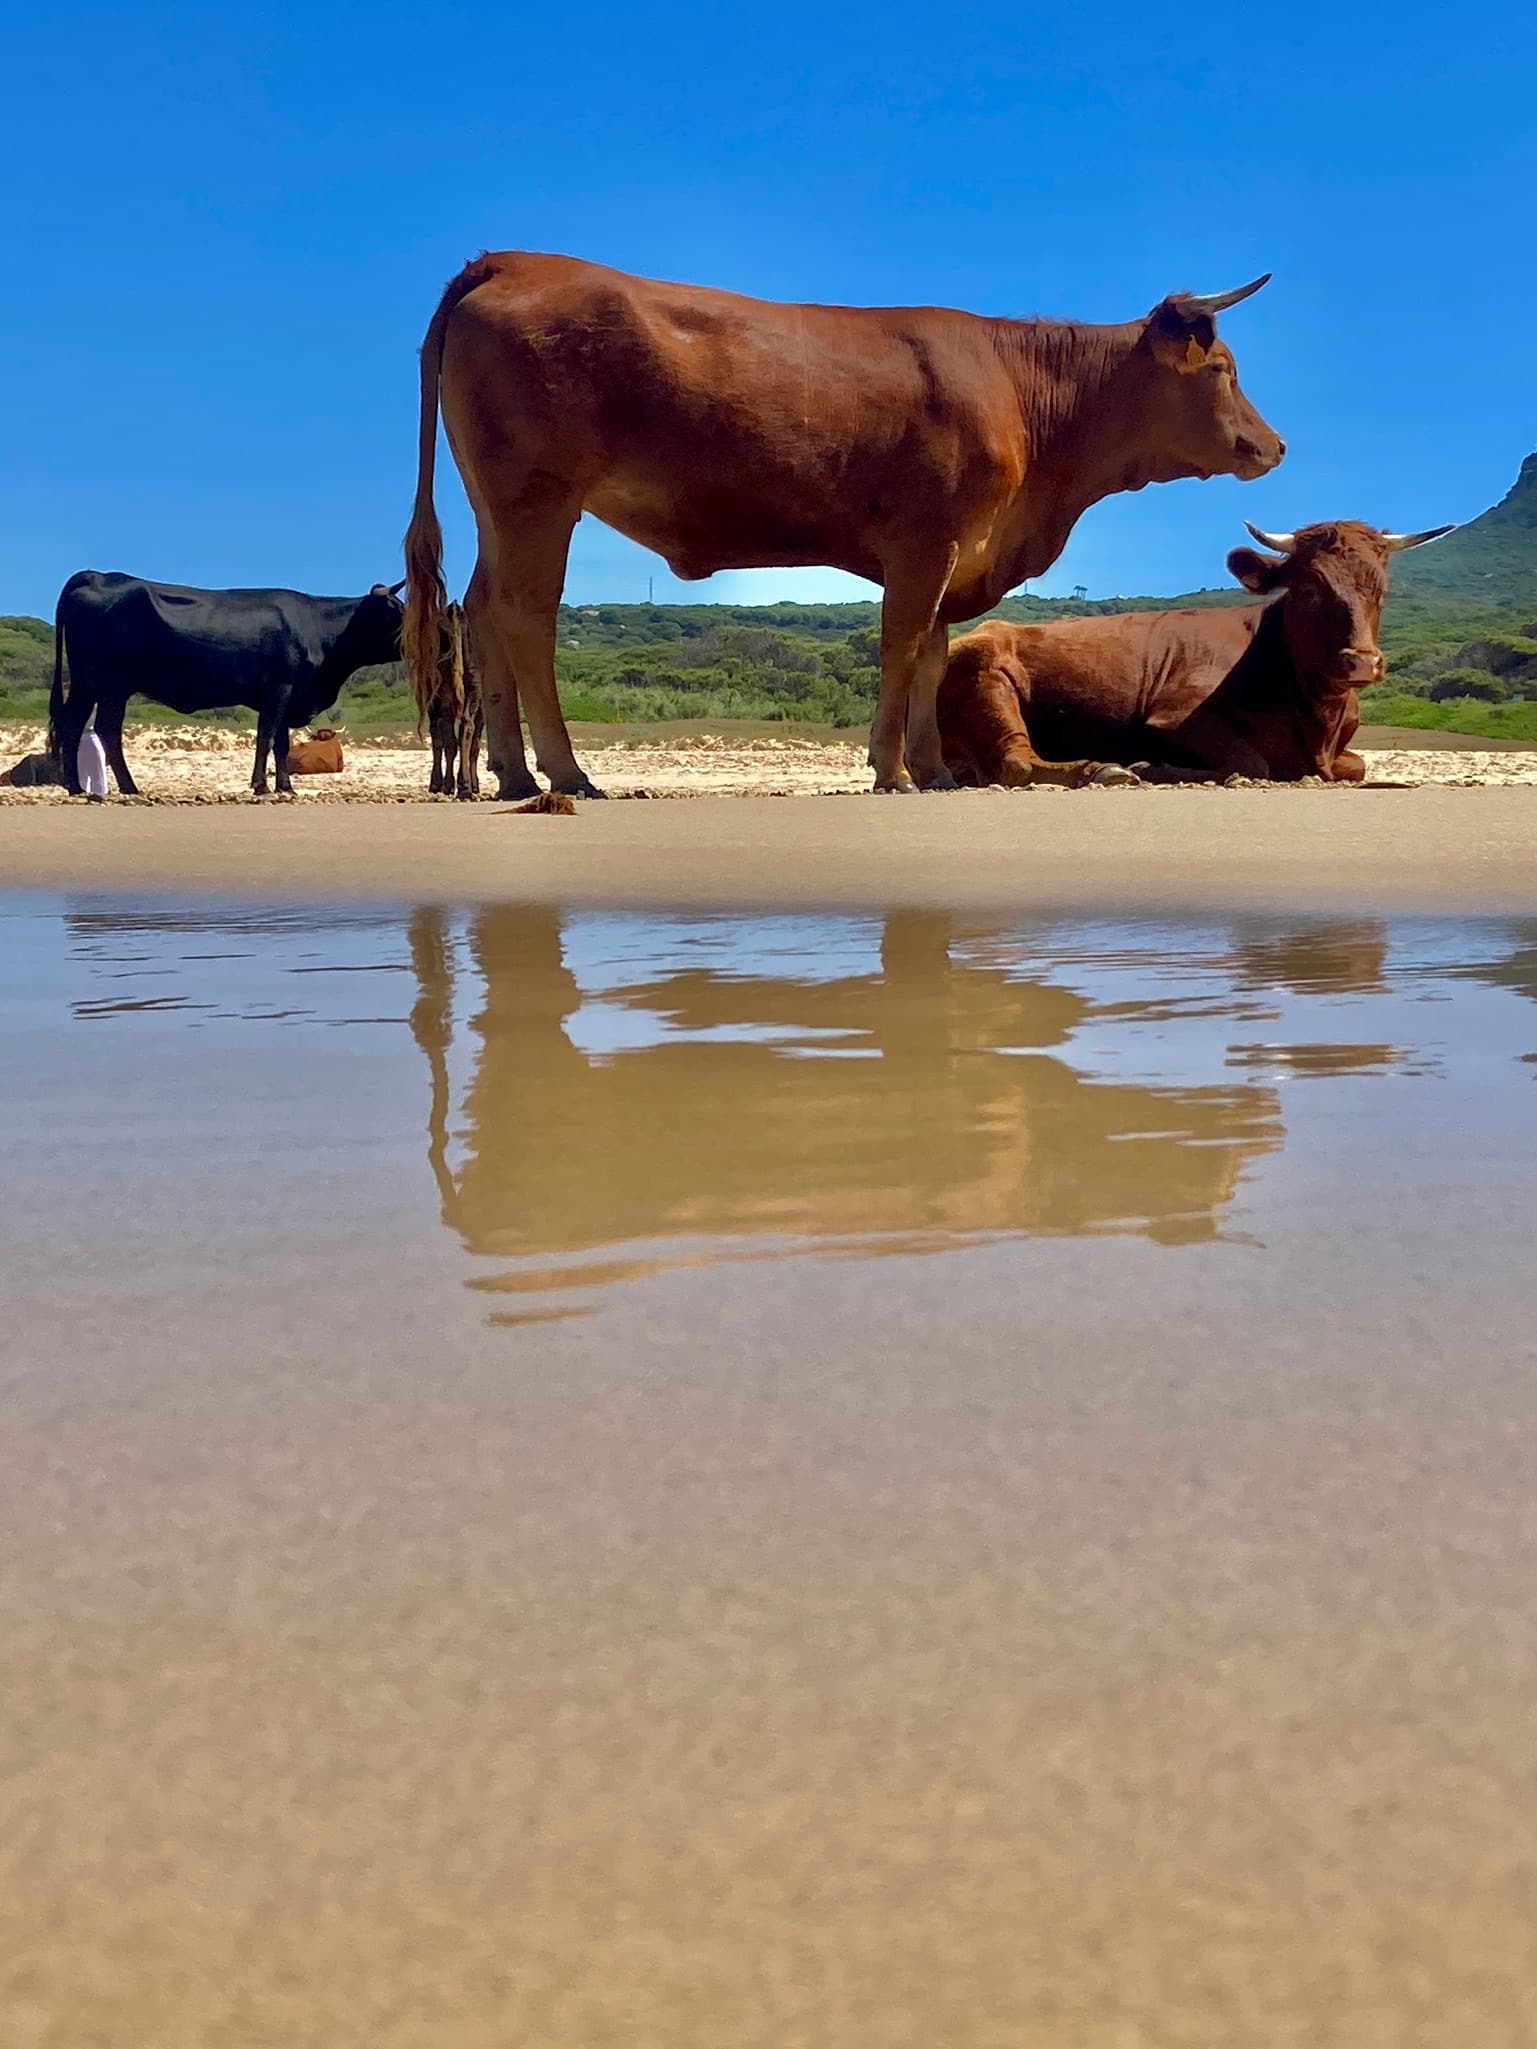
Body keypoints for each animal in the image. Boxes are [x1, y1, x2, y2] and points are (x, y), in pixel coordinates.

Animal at [48, 574, 405, 796]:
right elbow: (266, 737)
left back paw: (81, 787)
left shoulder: (287, 695)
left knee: (80, 724)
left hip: (94, 685)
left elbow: (281, 743)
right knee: (100, 728)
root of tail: (98, 575)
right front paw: (261, 786)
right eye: (397, 613)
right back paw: (122, 787)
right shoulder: (279, 688)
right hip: (107, 684)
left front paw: (285, 787)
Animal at [413, 600, 484, 799]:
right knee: (465, 729)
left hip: (445, 692)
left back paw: (452, 784)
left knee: (447, 734)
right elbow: (473, 746)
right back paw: (463, 786)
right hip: (469, 689)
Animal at [937, 520, 1455, 789]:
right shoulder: (1173, 717)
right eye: (1309, 587)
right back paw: (1102, 768)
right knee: (1015, 762)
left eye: (1380, 591)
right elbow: (1252, 762)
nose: (1362, 661)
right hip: (990, 676)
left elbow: (1358, 764)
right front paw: (1152, 767)